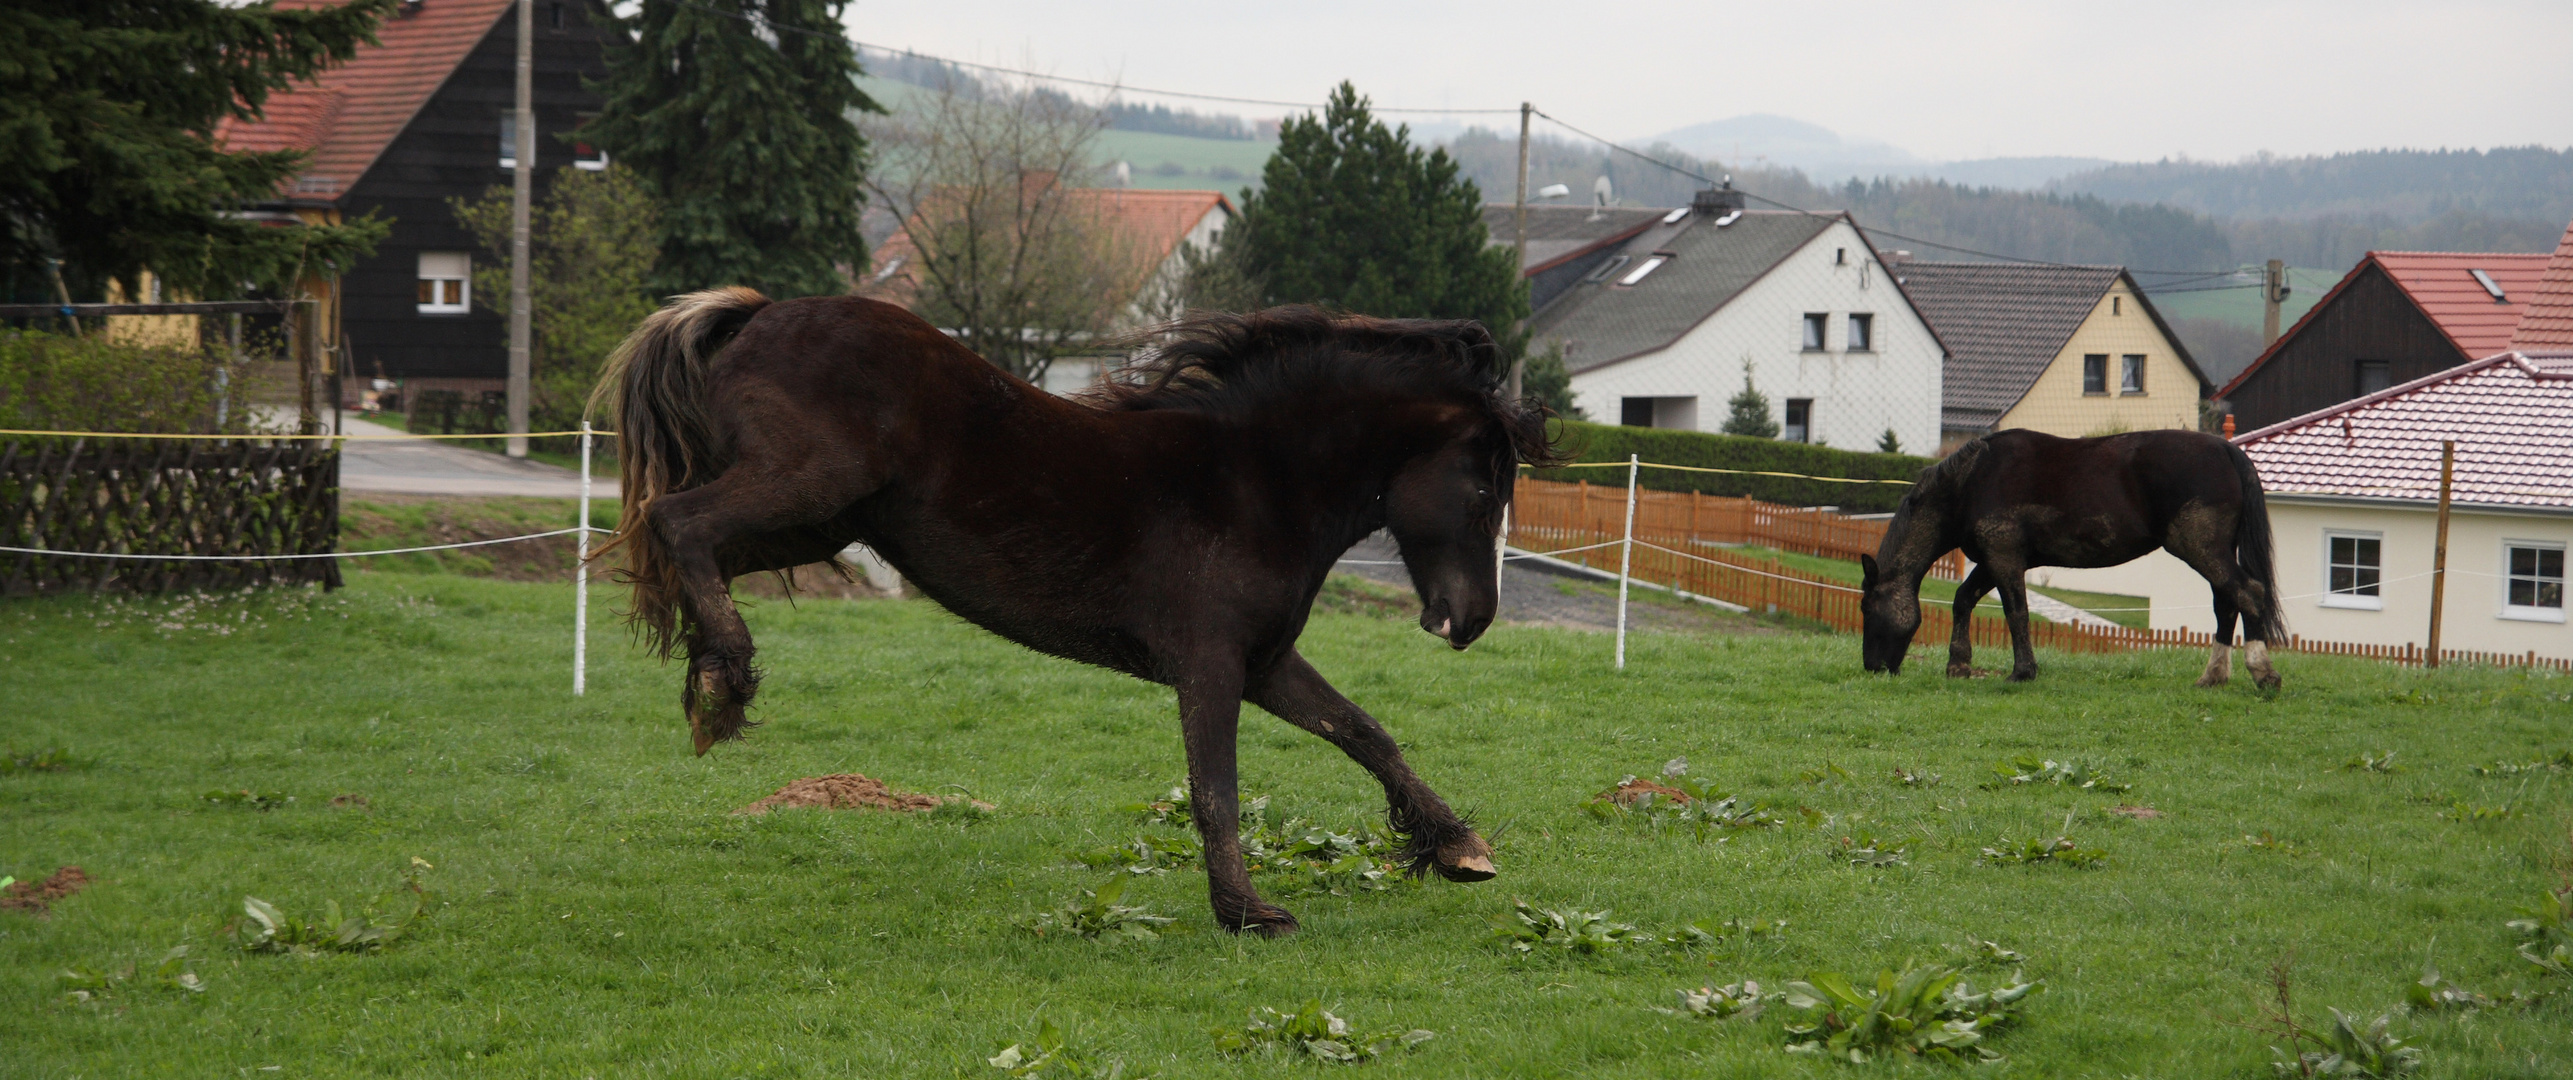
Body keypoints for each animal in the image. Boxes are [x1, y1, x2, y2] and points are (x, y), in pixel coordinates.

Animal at [591, 290, 1554, 930]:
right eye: (1481, 491)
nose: (1471, 620)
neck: (1253, 482)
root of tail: (757, 313)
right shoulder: (1210, 664)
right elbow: (1216, 789)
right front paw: (1246, 912)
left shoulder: (1265, 663)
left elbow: (1364, 733)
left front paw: (1457, 846)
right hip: (804, 489)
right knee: (677, 522)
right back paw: (724, 684)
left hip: (818, 521)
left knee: (694, 550)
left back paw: (709, 681)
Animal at [1862, 429, 2284, 689]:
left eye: (1867, 608)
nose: (1871, 667)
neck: (1971, 482)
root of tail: (2226, 449)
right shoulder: (1992, 561)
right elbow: (1962, 599)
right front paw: (1959, 664)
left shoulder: (2004, 559)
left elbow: (2016, 612)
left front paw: (2022, 672)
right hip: (2212, 552)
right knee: (2226, 604)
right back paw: (2213, 676)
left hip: (2201, 548)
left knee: (2248, 593)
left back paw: (2262, 672)